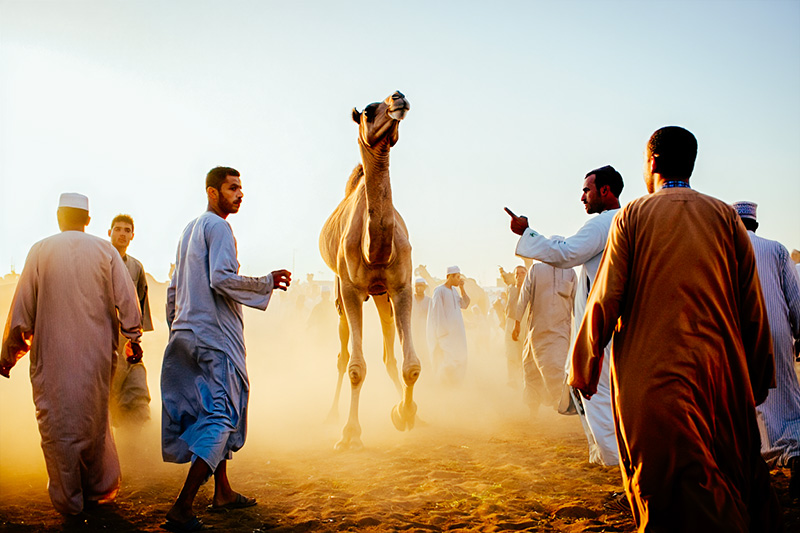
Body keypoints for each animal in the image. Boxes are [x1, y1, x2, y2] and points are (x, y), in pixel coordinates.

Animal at [319, 91, 420, 451]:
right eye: (366, 111)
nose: (398, 97)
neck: (373, 249)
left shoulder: (401, 287)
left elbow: (411, 366)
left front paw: (405, 414)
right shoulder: (351, 290)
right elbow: (355, 368)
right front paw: (350, 434)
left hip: (380, 296)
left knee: (389, 355)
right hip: (341, 293)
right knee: (342, 354)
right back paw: (331, 416)